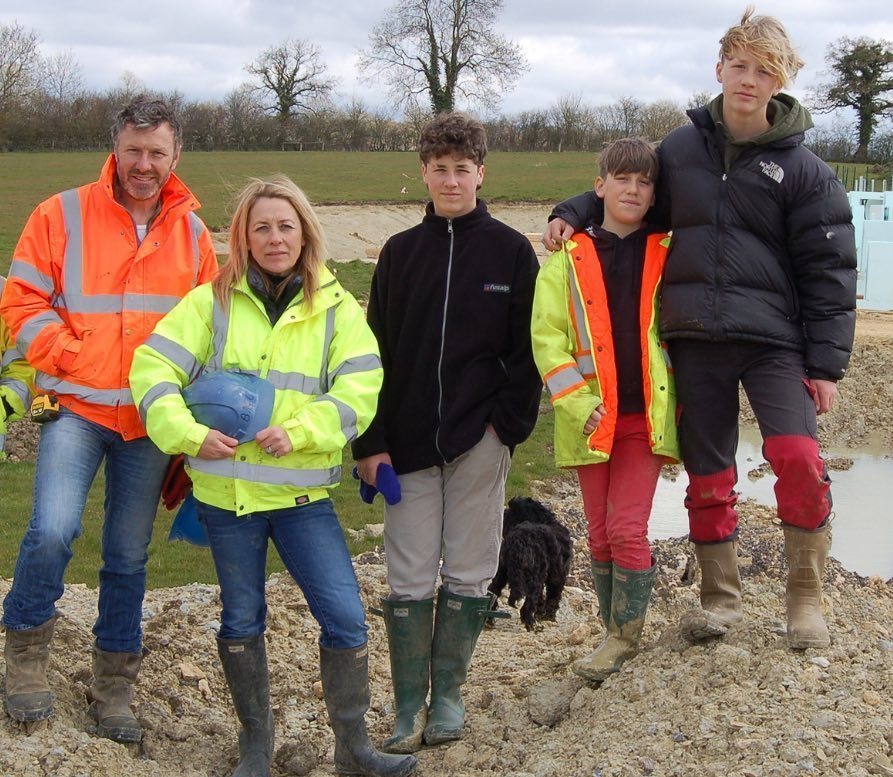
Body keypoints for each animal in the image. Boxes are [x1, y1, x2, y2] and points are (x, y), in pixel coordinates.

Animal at [488, 498, 572, 632]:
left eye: (511, 510)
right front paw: (549, 616)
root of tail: (517, 540)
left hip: (502, 570)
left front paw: (541, 612)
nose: (503, 514)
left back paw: (490, 619)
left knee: (493, 590)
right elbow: (553, 596)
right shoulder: (558, 576)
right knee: (528, 602)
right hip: (533, 577)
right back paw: (532, 624)